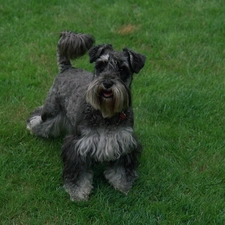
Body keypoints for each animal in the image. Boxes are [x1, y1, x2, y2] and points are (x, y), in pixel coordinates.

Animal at [26, 31, 146, 200]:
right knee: (39, 119)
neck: (105, 114)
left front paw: (123, 186)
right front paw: (78, 193)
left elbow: (122, 169)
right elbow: (78, 173)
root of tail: (67, 68)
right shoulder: (78, 145)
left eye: (123, 69)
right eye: (100, 65)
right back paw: (31, 127)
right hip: (51, 111)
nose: (107, 84)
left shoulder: (125, 142)